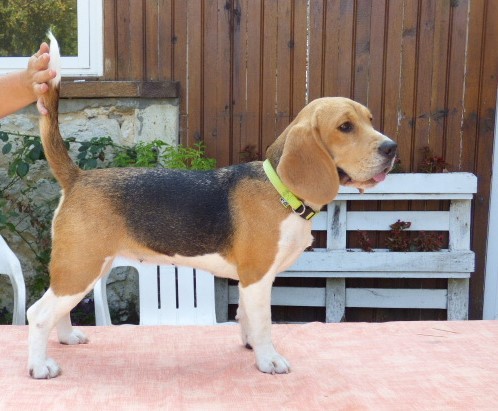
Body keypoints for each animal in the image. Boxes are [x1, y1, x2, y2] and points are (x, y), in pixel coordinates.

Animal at [27, 33, 397, 379]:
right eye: (345, 127)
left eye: (369, 119)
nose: (391, 148)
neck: (281, 191)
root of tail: (77, 177)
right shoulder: (258, 278)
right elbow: (264, 323)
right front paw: (269, 360)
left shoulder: (250, 281)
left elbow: (245, 316)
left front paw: (250, 346)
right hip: (81, 266)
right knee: (38, 313)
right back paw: (40, 365)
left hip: (86, 268)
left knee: (57, 308)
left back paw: (67, 337)